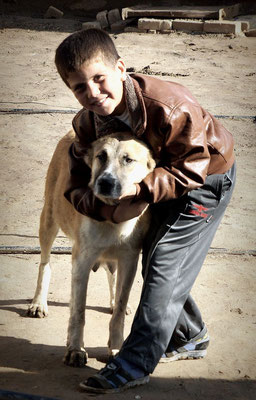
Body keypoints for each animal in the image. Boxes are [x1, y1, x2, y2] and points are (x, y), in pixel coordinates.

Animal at [28, 130, 156, 366]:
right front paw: (75, 349)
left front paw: (116, 347)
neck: (113, 217)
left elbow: (119, 307)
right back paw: (38, 303)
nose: (105, 182)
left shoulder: (129, 260)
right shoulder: (82, 261)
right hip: (49, 219)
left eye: (128, 160)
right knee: (45, 263)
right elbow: (78, 311)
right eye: (101, 156)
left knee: (111, 275)